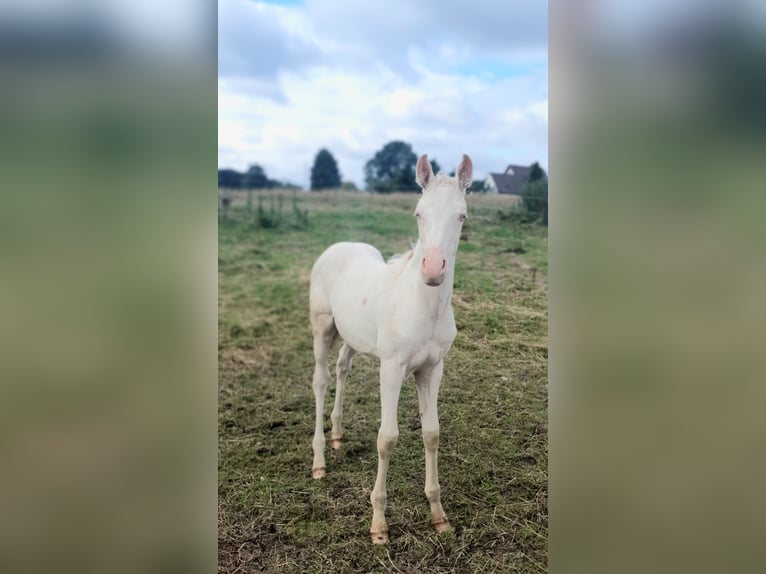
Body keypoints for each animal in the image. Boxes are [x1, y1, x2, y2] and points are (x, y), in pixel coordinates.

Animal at [308, 152, 472, 544]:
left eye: (461, 216)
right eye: (418, 213)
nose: (433, 269)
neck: (422, 307)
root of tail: (337, 247)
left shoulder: (432, 369)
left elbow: (432, 433)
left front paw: (438, 515)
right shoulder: (393, 368)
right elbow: (387, 438)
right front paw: (379, 524)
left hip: (351, 335)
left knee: (343, 367)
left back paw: (337, 435)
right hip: (322, 327)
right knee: (321, 381)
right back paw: (319, 461)